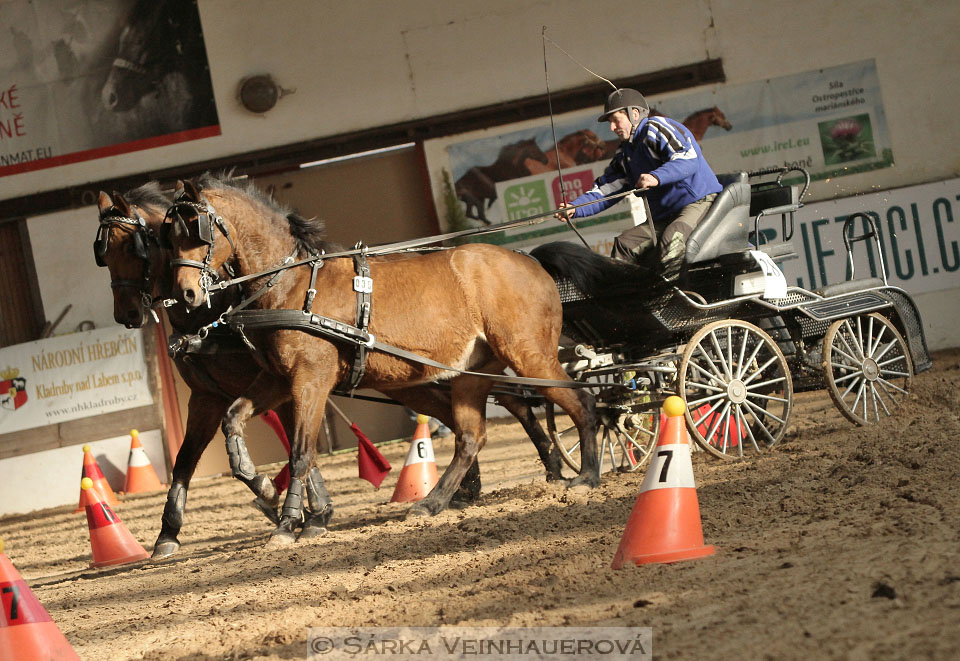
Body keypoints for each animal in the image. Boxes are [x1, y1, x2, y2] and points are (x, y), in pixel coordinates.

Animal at [166, 174, 600, 540]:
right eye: (167, 235)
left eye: (196, 228)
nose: (186, 294)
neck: (294, 285)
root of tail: (530, 259)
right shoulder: (276, 379)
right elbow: (234, 418)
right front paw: (263, 486)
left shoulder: (310, 381)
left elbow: (301, 453)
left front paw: (291, 524)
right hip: (470, 372)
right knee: (471, 436)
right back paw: (432, 503)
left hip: (529, 355)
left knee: (581, 401)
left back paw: (587, 477)